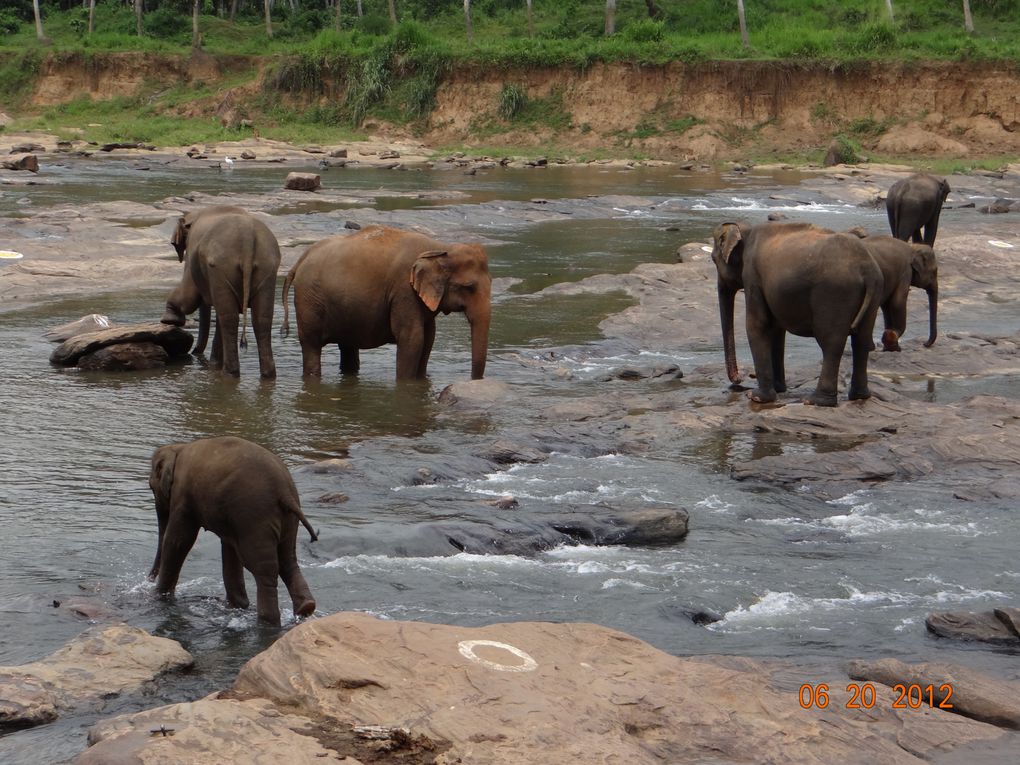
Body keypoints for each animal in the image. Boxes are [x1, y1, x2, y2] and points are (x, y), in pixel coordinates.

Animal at [147, 436, 318, 628]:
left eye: (151, 487)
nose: (148, 580)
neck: (178, 448)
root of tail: (285, 491)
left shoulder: (183, 495)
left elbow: (178, 540)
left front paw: (158, 597)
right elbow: (229, 549)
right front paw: (238, 605)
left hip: (255, 516)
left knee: (263, 568)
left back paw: (268, 621)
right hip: (285, 519)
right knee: (287, 560)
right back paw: (306, 608)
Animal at [164, 207, 283, 381]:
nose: (195, 352)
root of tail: (247, 238)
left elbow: (189, 297)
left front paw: (169, 320)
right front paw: (214, 364)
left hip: (221, 267)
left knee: (229, 317)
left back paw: (228, 373)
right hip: (267, 267)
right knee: (261, 319)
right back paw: (267, 376)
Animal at [281, 227, 491, 383]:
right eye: (469, 287)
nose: (473, 380)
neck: (441, 248)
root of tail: (300, 260)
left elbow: (429, 337)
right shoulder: (404, 290)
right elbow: (412, 338)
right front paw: (407, 385)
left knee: (347, 347)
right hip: (309, 300)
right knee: (311, 345)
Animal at [709, 220, 885, 408]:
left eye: (713, 259)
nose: (738, 379)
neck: (746, 229)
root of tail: (867, 268)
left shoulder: (752, 276)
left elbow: (757, 324)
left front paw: (756, 397)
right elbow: (776, 329)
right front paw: (779, 389)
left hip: (835, 292)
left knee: (831, 342)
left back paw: (816, 400)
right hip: (874, 293)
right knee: (861, 340)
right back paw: (860, 396)